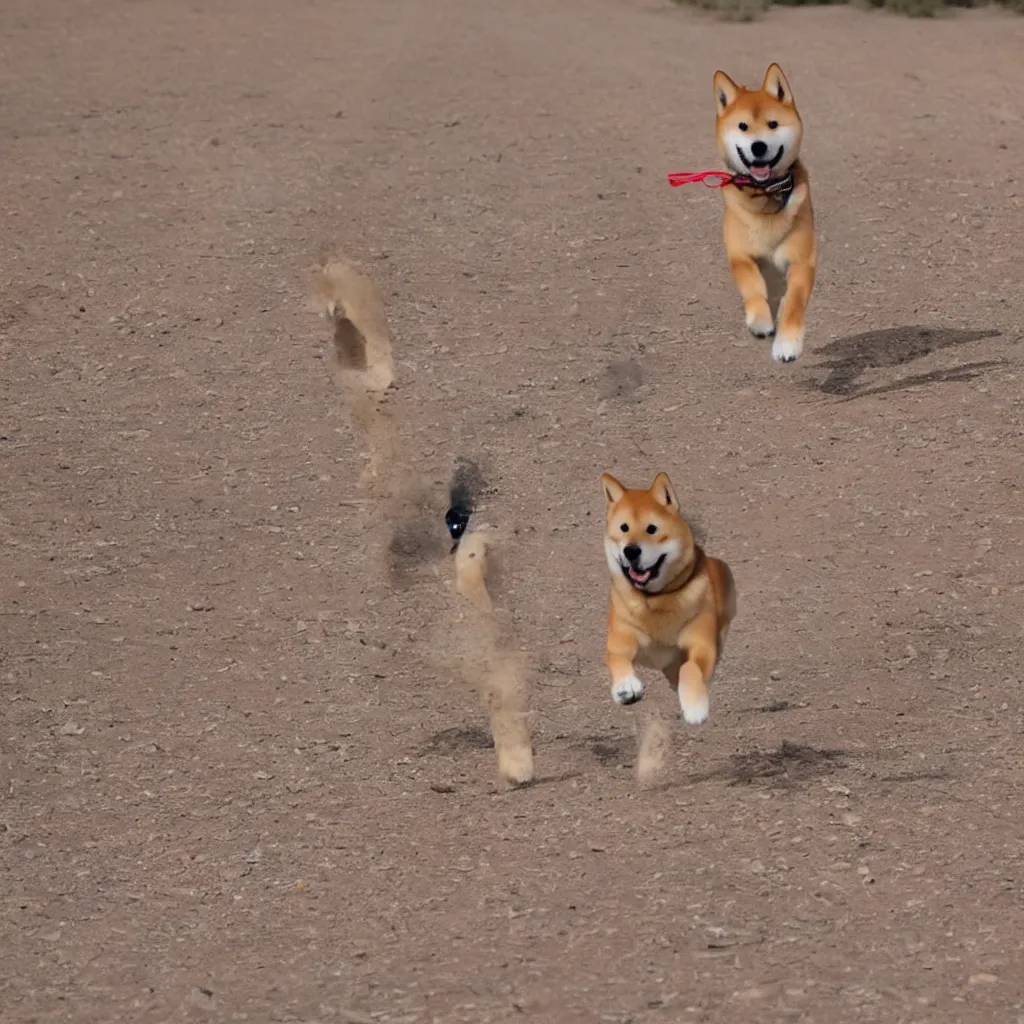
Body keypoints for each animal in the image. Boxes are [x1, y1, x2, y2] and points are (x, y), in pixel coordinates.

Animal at [598, 473, 737, 724]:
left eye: (652, 529)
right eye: (623, 527)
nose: (630, 551)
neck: (654, 601)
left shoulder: (701, 645)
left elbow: (690, 668)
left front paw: (695, 706)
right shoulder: (620, 640)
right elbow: (617, 659)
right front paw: (625, 687)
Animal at [712, 62, 815, 360]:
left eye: (773, 124)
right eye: (743, 126)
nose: (758, 146)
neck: (765, 192)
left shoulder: (801, 261)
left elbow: (794, 303)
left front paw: (787, 343)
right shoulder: (740, 255)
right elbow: (752, 285)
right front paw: (760, 322)